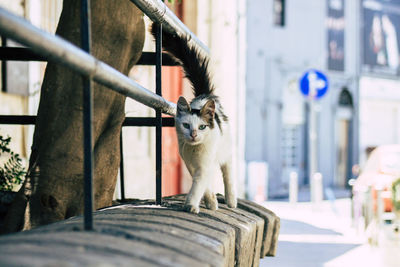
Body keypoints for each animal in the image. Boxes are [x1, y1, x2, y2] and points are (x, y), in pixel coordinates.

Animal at [152, 24, 236, 215]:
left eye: (202, 127)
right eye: (186, 125)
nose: (194, 134)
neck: (196, 150)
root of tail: (205, 95)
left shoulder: (204, 165)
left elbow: (198, 186)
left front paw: (190, 205)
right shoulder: (190, 164)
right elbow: (203, 185)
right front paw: (210, 201)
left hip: (226, 150)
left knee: (228, 173)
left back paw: (231, 200)